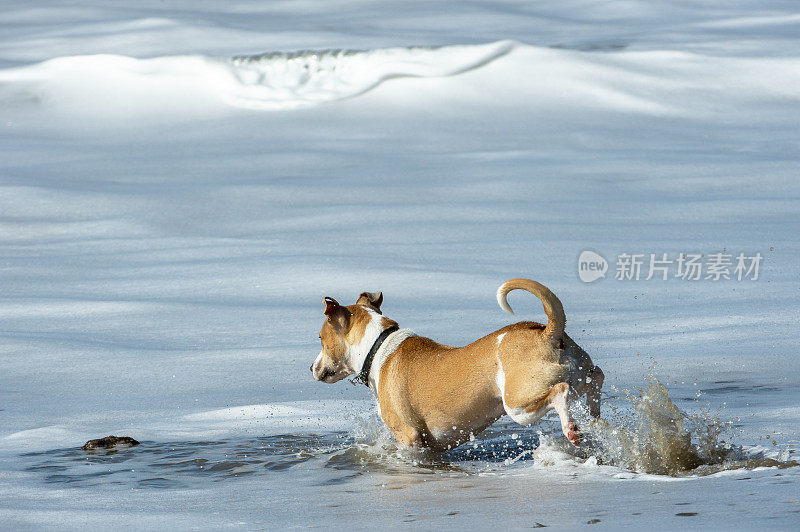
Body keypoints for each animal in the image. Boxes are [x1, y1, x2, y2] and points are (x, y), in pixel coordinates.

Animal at [310, 278, 604, 448]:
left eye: (320, 338)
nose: (311, 368)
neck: (378, 345)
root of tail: (548, 332)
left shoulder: (409, 437)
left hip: (518, 404)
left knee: (560, 391)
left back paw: (571, 429)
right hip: (578, 372)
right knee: (596, 377)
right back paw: (595, 418)